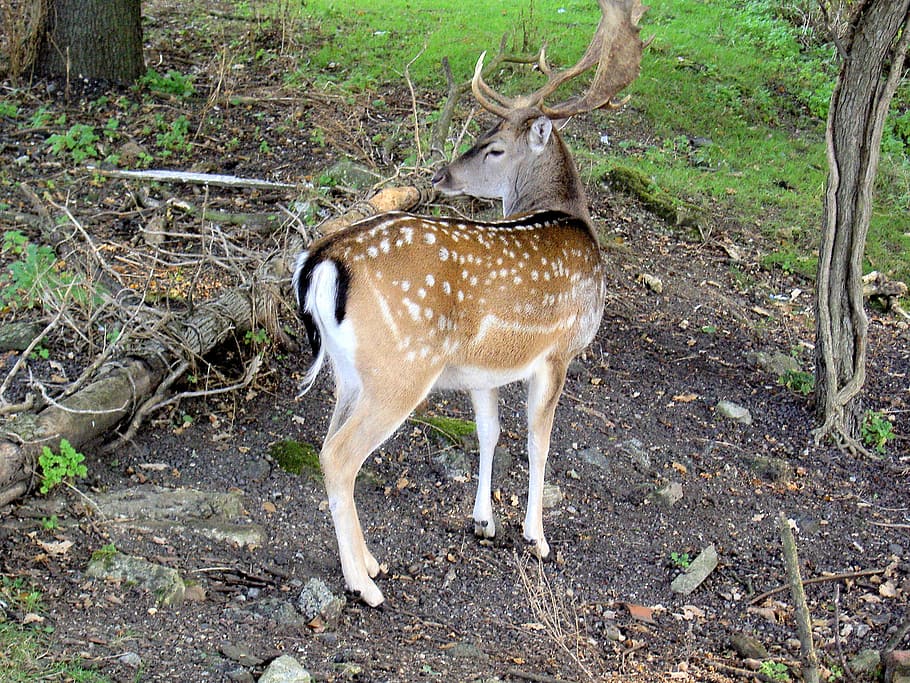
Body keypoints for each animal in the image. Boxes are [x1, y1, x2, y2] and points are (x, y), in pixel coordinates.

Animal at [293, 0, 648, 607]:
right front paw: (536, 537)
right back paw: (365, 585)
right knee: (338, 456)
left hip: (349, 371)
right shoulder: (559, 351)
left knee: (326, 445)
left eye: (494, 143)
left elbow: (491, 432)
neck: (569, 218)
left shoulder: (484, 369)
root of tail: (322, 261)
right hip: (401, 367)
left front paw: (484, 521)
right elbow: (538, 441)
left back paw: (372, 562)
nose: (441, 174)